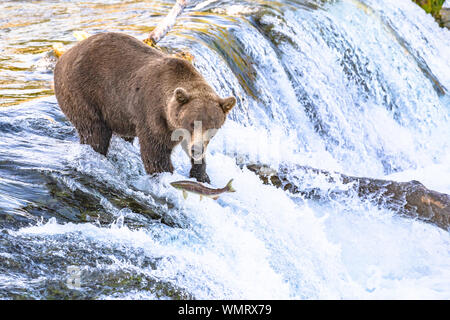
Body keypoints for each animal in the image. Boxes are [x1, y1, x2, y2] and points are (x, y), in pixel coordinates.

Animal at [53, 33, 236, 182]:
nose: (196, 149)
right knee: (95, 133)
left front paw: (201, 174)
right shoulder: (152, 115)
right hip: (82, 92)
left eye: (212, 127)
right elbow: (155, 153)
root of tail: (65, 56)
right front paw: (166, 175)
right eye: (191, 123)